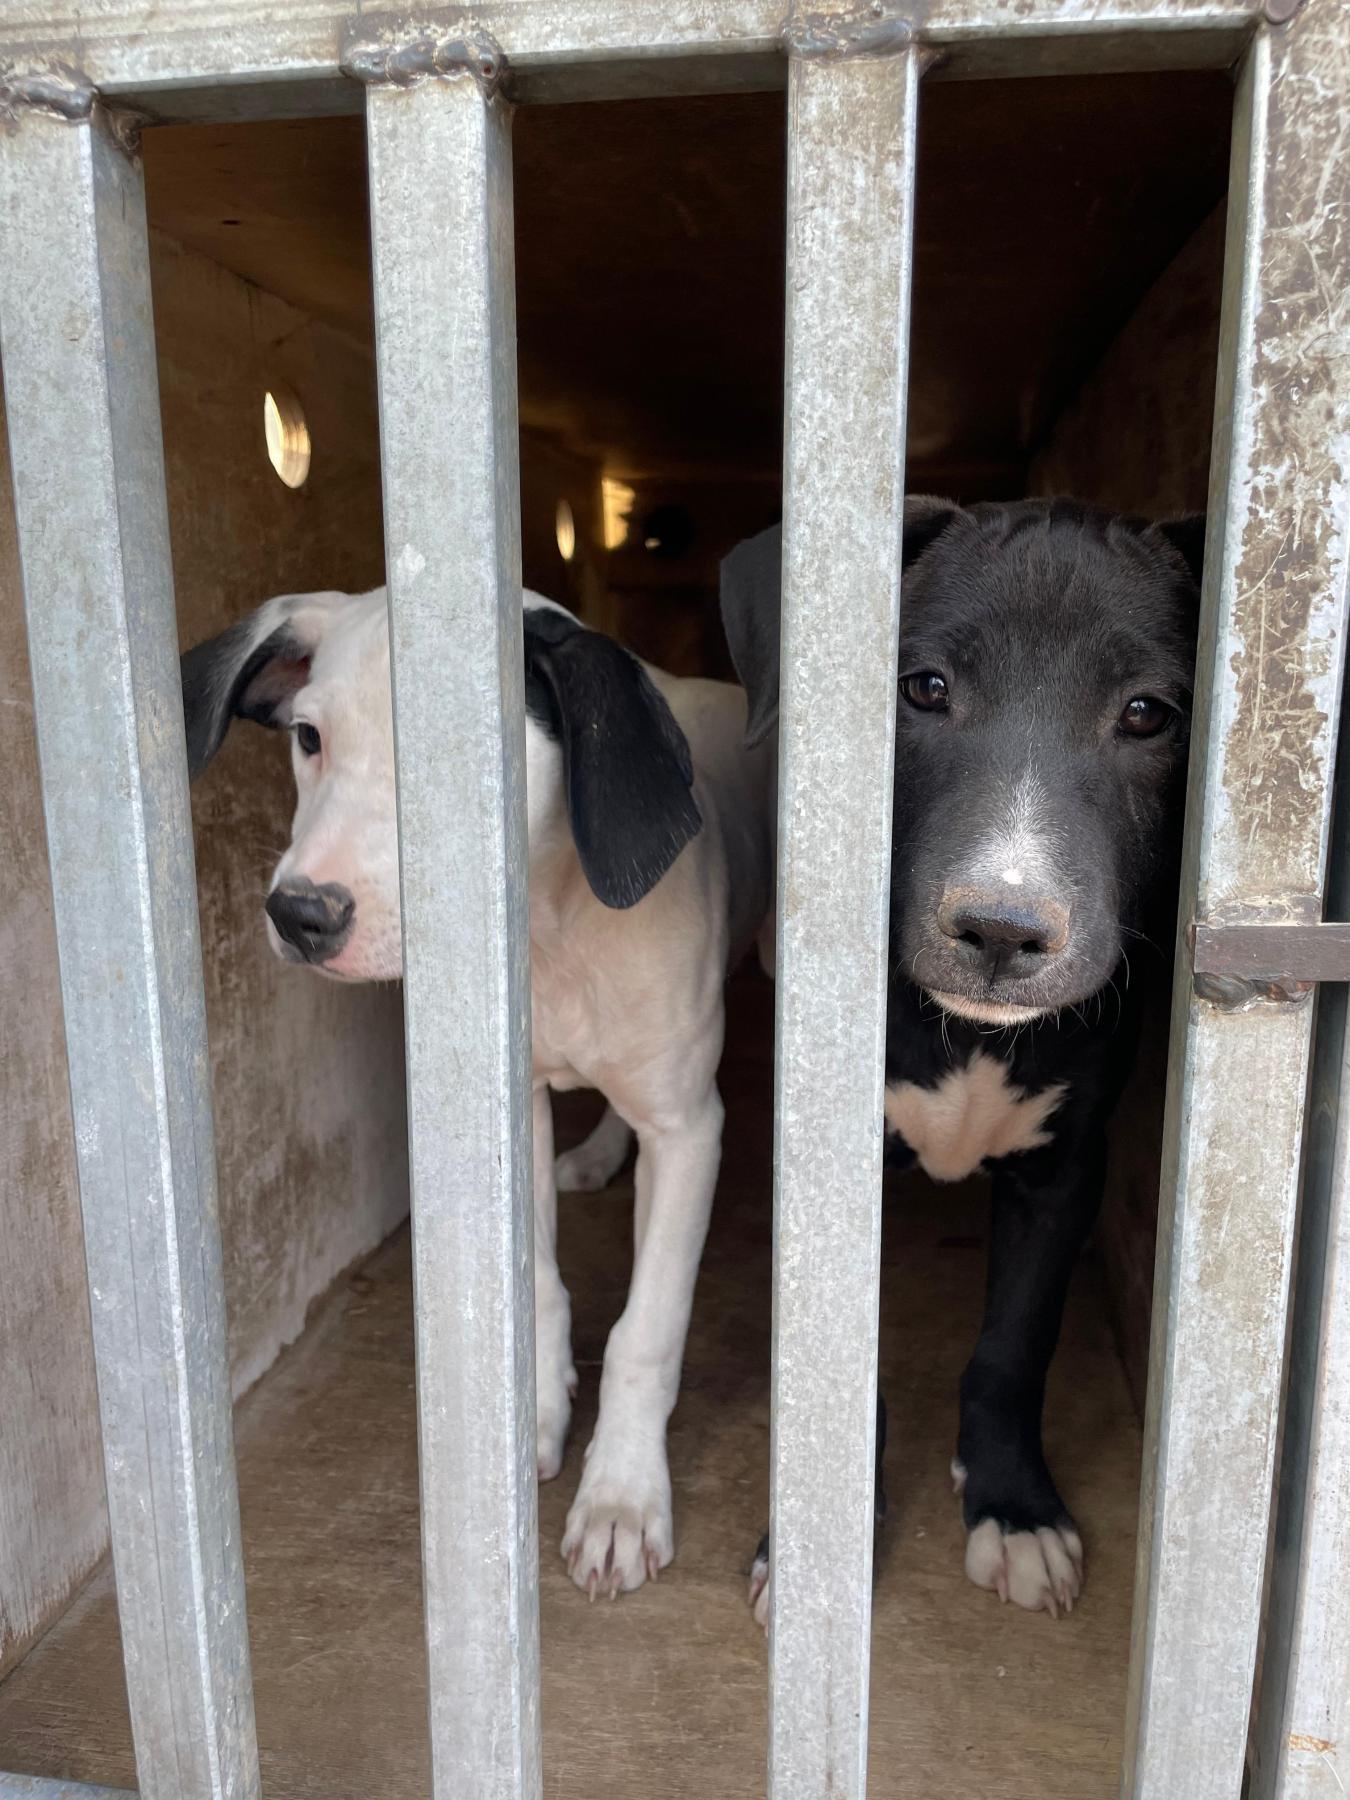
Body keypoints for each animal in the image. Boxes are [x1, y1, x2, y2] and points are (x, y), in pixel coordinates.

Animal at [182, 585, 775, 1597]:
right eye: (309, 738)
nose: (300, 915)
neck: (552, 925)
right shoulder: (516, 1100)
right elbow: (533, 1283)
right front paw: (529, 1416)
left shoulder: (689, 1131)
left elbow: (645, 1333)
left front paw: (619, 1497)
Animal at [721, 496, 1202, 1621]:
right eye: (924, 688)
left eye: (1147, 713)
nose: (999, 929)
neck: (970, 1031)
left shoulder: (1063, 1168)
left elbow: (1015, 1345)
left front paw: (1014, 1509)